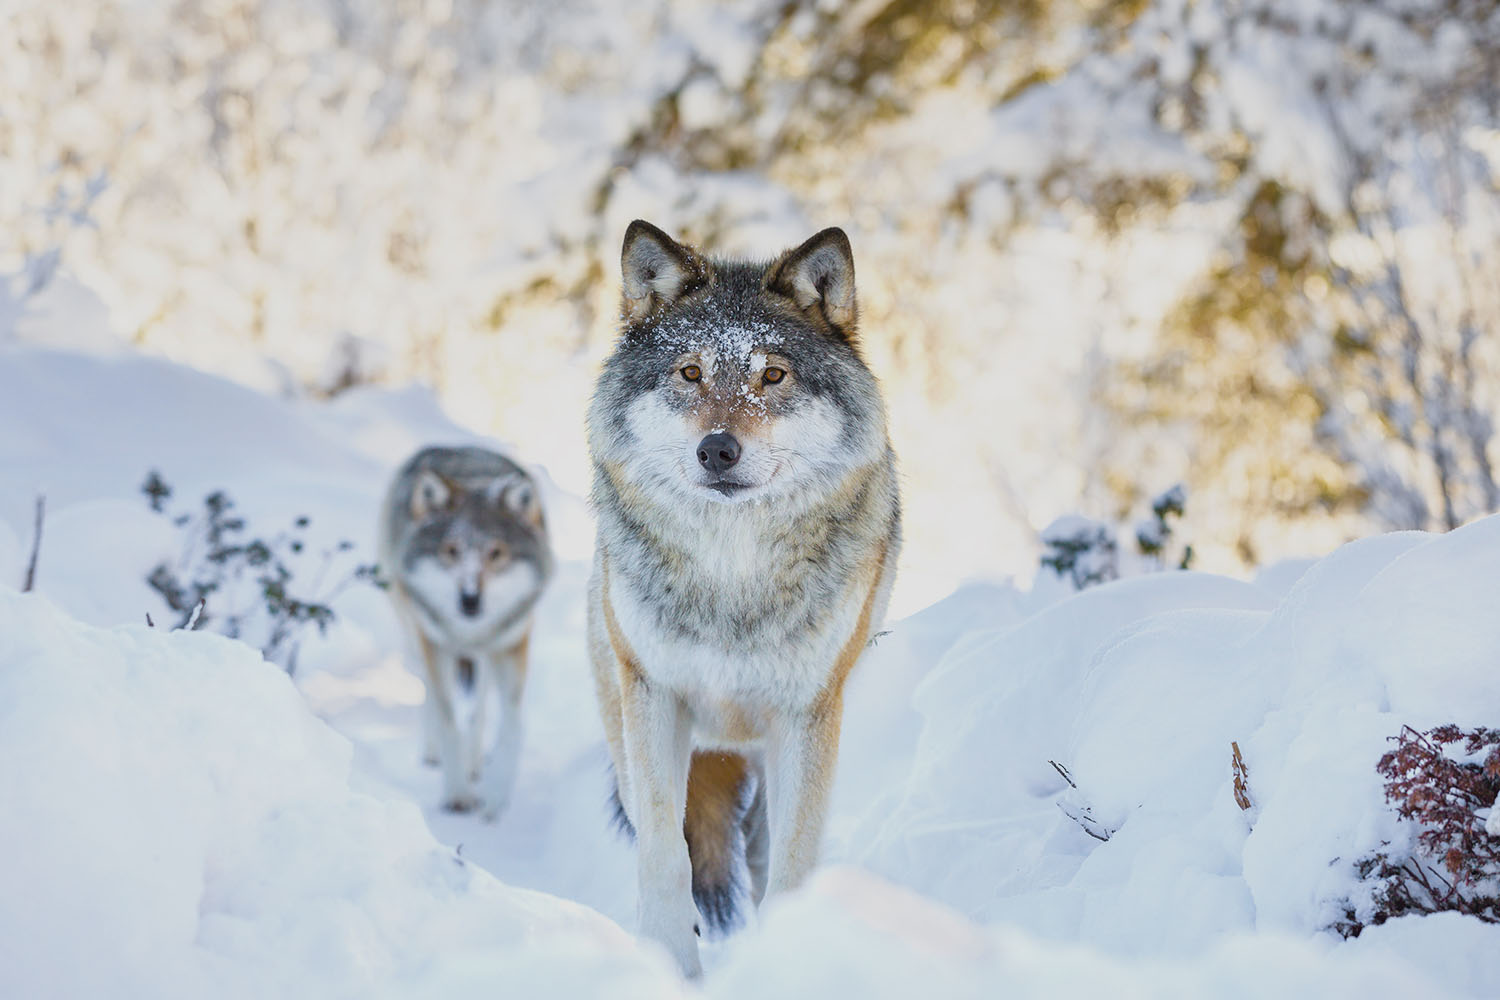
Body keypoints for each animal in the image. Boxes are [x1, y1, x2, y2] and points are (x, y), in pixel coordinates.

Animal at [378, 445, 553, 818]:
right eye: (451, 550)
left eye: (496, 552)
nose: (469, 600)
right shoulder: (435, 643)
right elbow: (448, 720)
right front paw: (458, 793)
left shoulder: (512, 643)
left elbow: (512, 724)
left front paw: (497, 795)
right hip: (414, 635)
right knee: (430, 693)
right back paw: (435, 752)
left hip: (486, 655)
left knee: (480, 705)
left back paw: (475, 762)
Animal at [585, 220, 901, 975]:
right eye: (690, 373)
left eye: (773, 375)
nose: (717, 450)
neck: (732, 575)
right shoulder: (655, 698)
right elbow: (666, 858)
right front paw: (668, 966)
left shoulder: (808, 715)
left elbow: (790, 863)